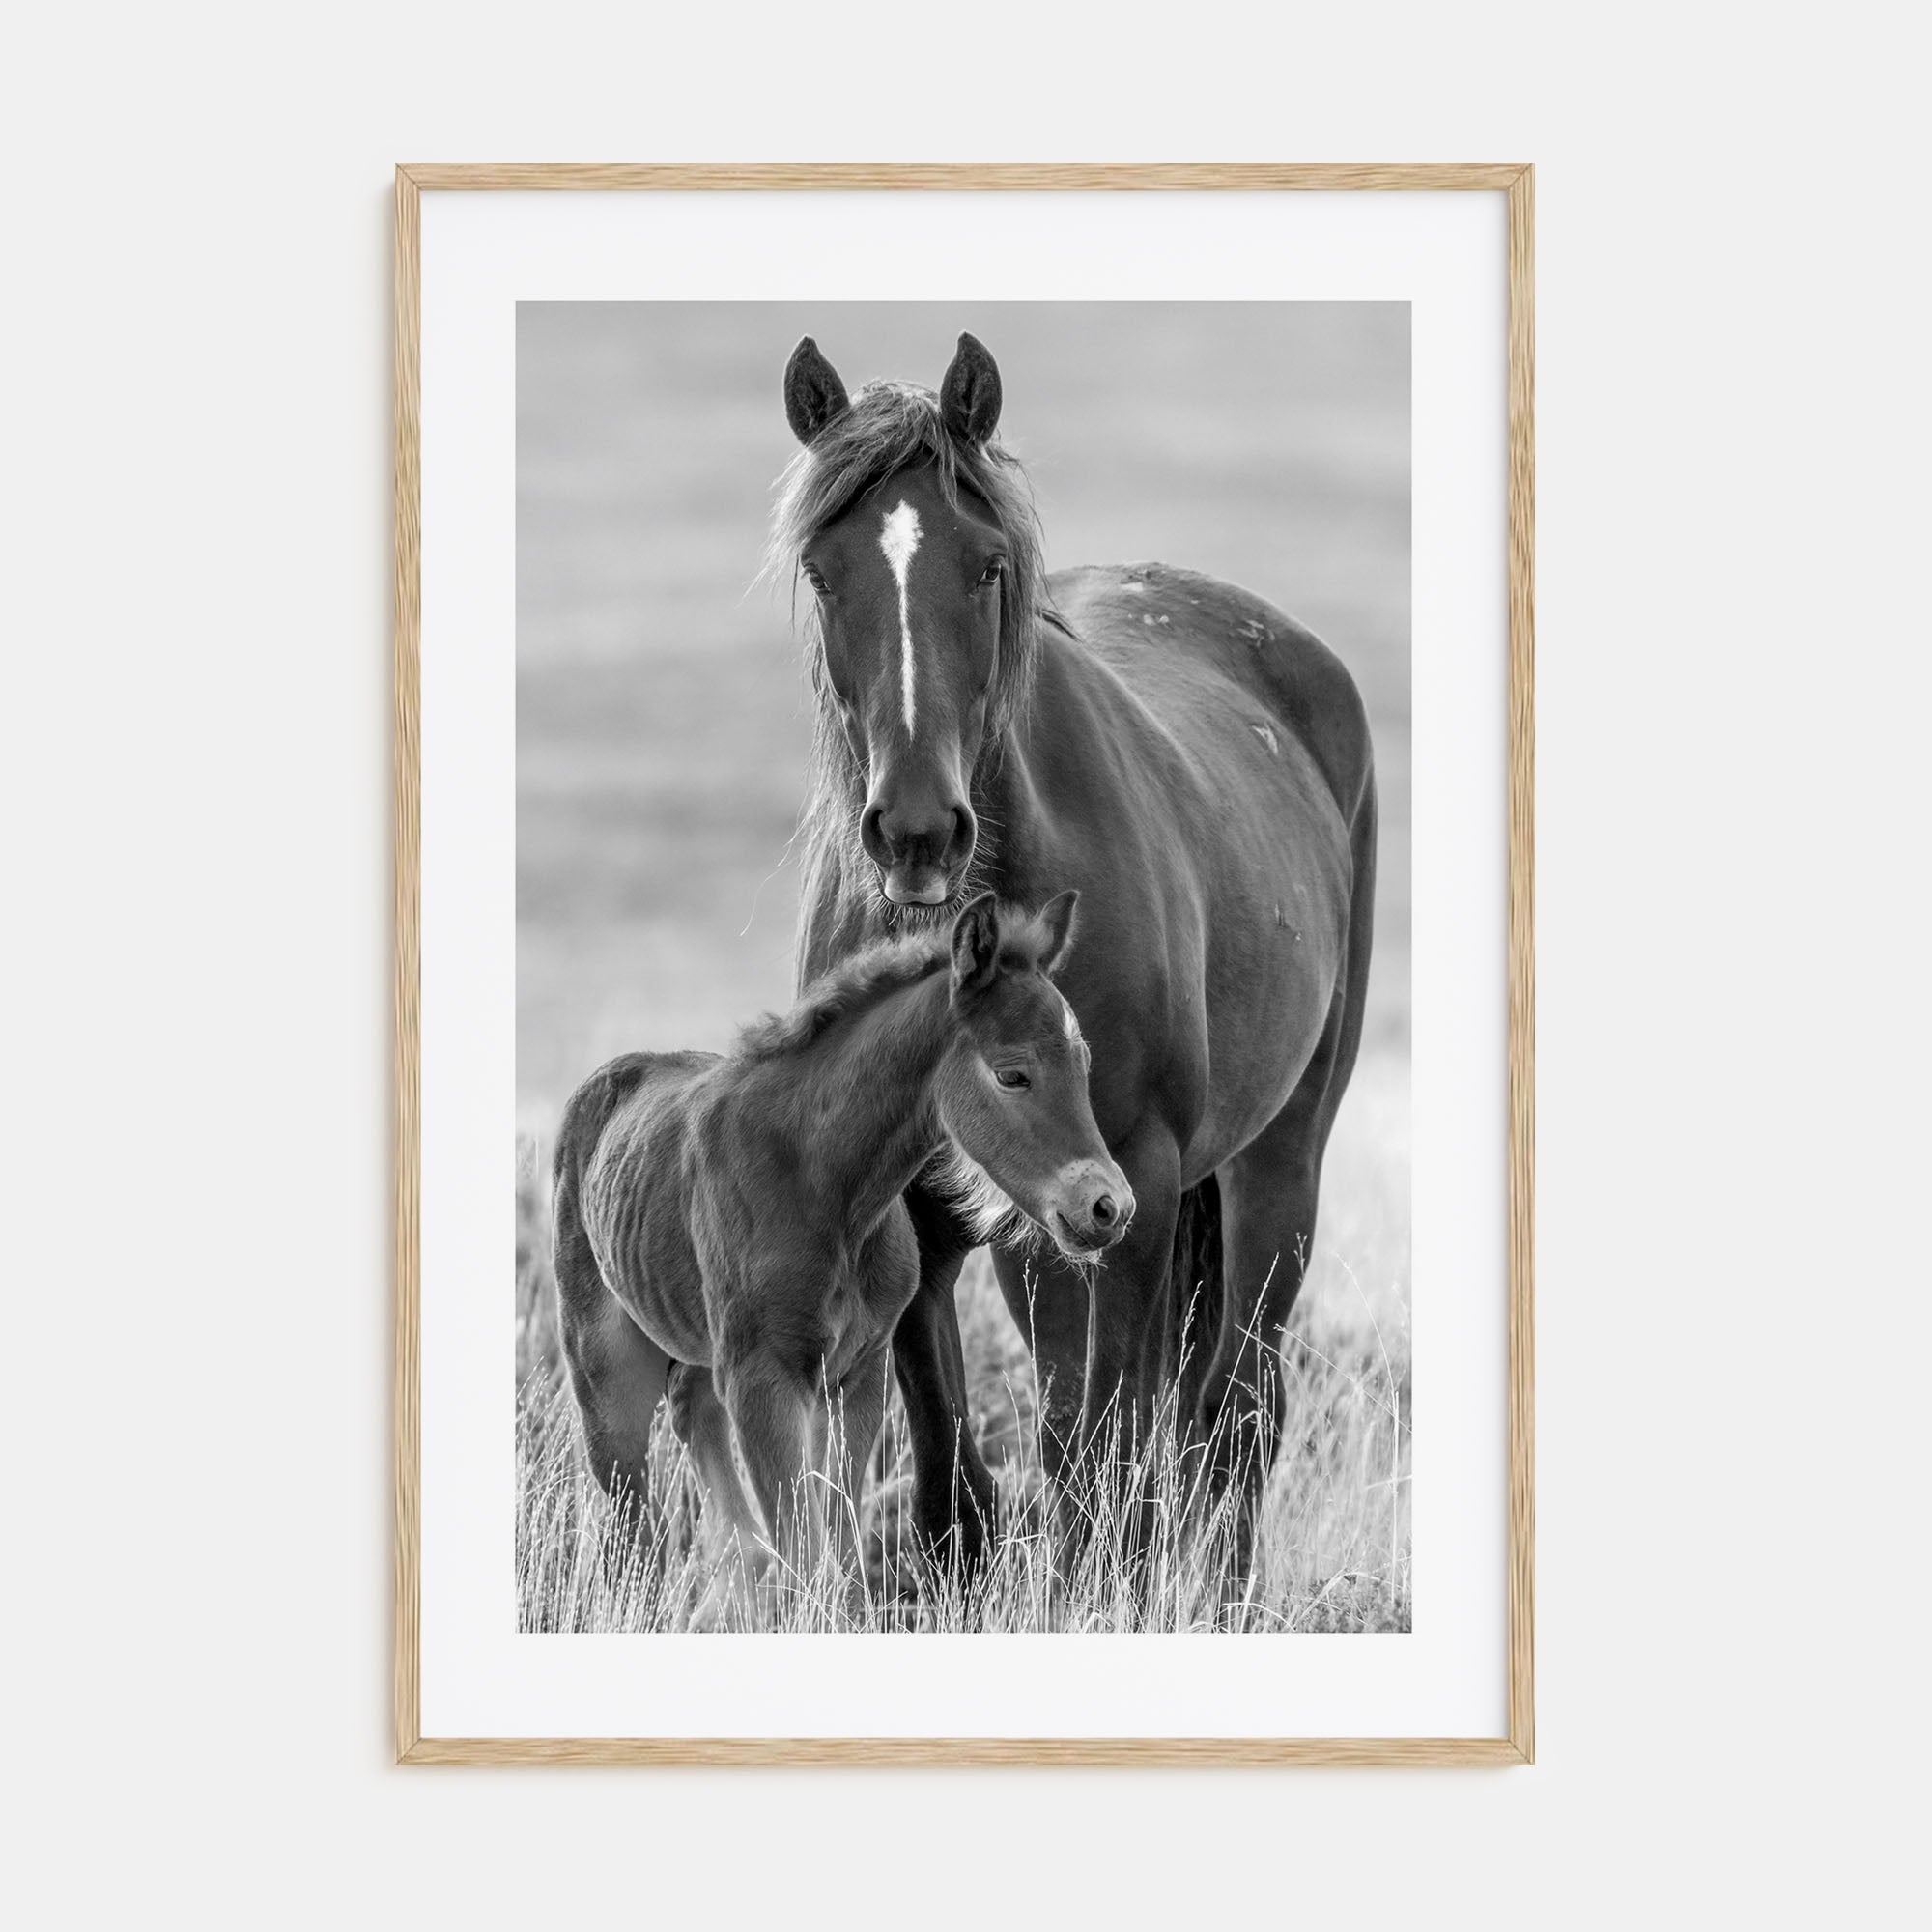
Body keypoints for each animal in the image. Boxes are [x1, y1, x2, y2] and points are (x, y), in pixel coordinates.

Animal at [550, 890, 1131, 1587]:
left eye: (1084, 1063)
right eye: (1012, 1075)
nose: (1108, 1207)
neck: (828, 1192)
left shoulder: (858, 1373)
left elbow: (840, 1548)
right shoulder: (763, 1379)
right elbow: (805, 1552)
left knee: (695, 1422)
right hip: (603, 1364)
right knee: (627, 1506)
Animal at [772, 332, 1377, 1566]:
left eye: (987, 565)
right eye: (821, 571)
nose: (917, 830)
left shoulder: (1114, 1190)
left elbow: (1096, 1457)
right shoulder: (916, 1216)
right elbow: (952, 1471)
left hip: (1273, 1165)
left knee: (1234, 1410)